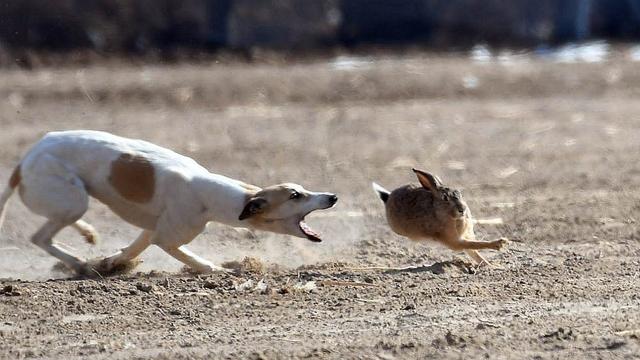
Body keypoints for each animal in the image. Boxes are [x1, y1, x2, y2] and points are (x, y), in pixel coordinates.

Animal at [0, 131, 340, 274]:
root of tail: (23, 162)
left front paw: (111, 262)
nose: (333, 197)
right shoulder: (167, 237)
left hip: (70, 201)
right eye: (295, 195)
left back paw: (87, 236)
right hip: (73, 200)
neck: (208, 190)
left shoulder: (152, 229)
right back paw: (78, 263)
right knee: (39, 237)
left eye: (302, 189)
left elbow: (131, 248)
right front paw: (220, 270)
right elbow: (196, 261)